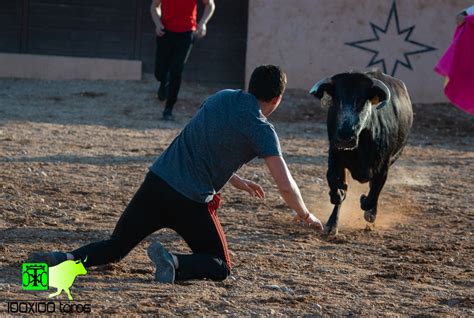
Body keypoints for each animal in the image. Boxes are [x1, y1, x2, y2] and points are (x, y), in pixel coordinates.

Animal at [310, 72, 412, 236]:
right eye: (337, 100)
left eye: (361, 101)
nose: (345, 137)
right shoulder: (335, 155)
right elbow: (334, 182)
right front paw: (337, 197)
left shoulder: (384, 166)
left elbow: (372, 195)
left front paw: (368, 208)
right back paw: (332, 224)